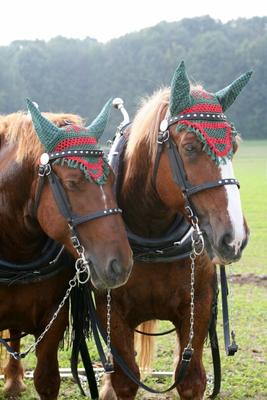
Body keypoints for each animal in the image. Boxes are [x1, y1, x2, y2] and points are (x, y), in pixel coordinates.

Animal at [97, 61, 252, 398]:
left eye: (233, 147)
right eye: (190, 147)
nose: (234, 238)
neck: (153, 234)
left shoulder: (199, 305)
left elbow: (191, 379)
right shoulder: (111, 313)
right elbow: (125, 380)